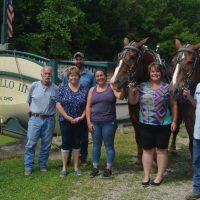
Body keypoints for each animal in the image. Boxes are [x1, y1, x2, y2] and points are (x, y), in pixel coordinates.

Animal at [110, 38, 165, 166]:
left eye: (132, 56)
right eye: (119, 56)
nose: (114, 82)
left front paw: (155, 160)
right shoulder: (134, 116)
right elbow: (138, 137)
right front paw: (140, 159)